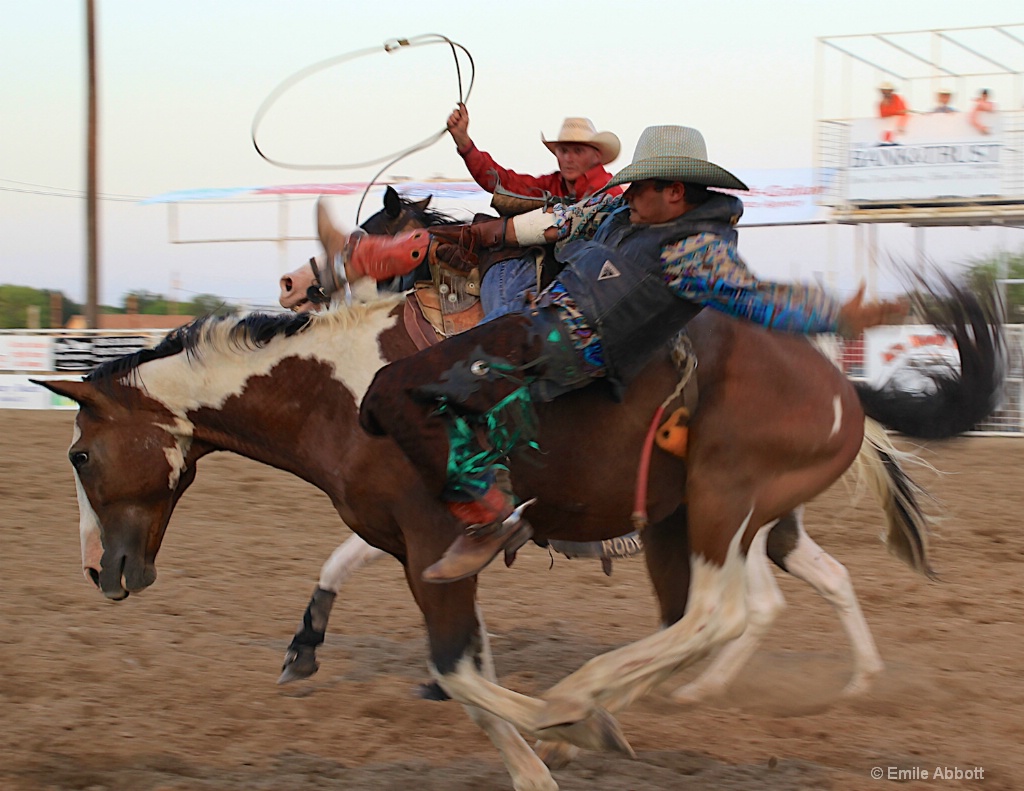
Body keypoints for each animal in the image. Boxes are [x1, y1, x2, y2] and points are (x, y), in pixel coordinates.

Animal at [37, 248, 999, 790]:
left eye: (80, 456)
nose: (98, 571)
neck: (342, 390)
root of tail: (841, 385)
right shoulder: (419, 548)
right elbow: (466, 671)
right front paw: (541, 755)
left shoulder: (434, 540)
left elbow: (460, 670)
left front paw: (555, 726)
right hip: (701, 521)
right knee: (746, 601)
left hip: (729, 502)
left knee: (726, 610)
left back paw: (593, 698)